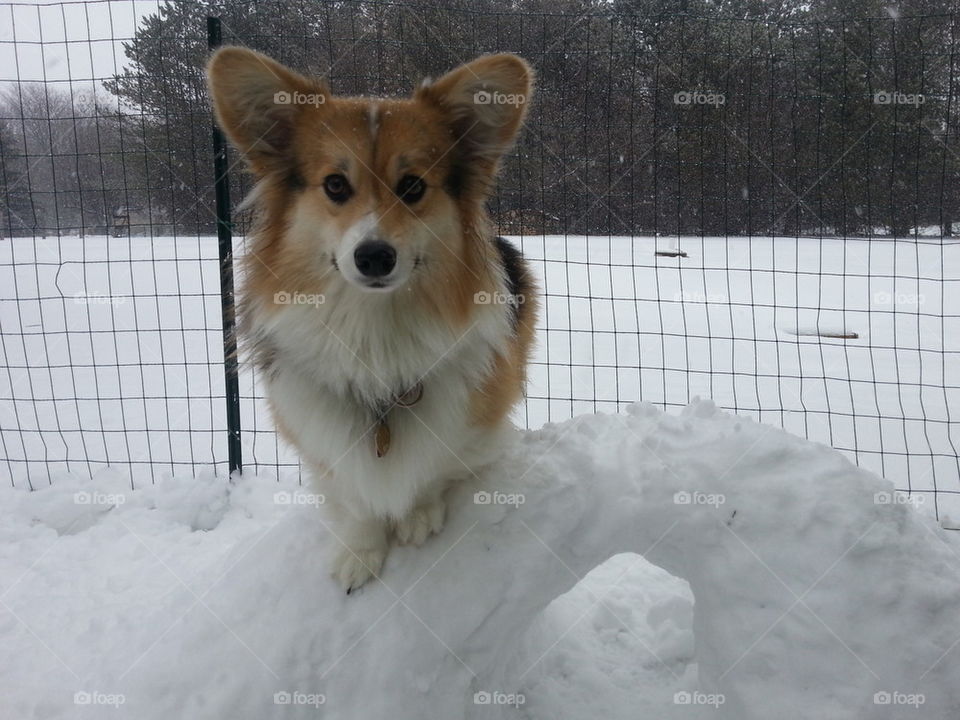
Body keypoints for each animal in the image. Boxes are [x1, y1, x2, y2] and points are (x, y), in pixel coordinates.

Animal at [209, 49, 536, 592]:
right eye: (336, 185)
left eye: (413, 186)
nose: (375, 256)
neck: (373, 328)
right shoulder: (320, 443)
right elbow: (354, 498)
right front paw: (359, 554)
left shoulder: (473, 423)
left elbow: (435, 466)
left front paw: (417, 515)